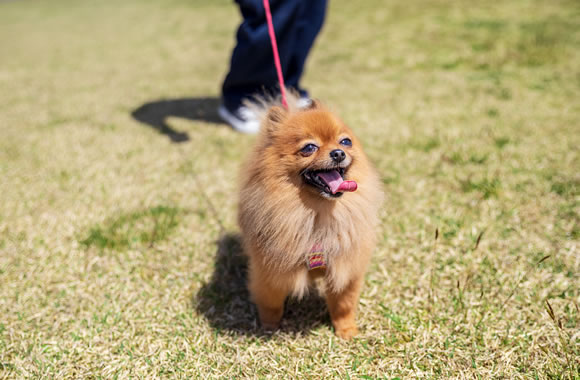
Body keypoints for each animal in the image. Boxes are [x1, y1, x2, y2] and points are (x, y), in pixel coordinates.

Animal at [238, 96, 382, 340]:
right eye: (309, 147)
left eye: (345, 142)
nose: (338, 153)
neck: (318, 215)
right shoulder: (269, 272)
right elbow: (271, 303)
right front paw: (269, 327)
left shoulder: (346, 267)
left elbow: (343, 304)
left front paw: (346, 330)